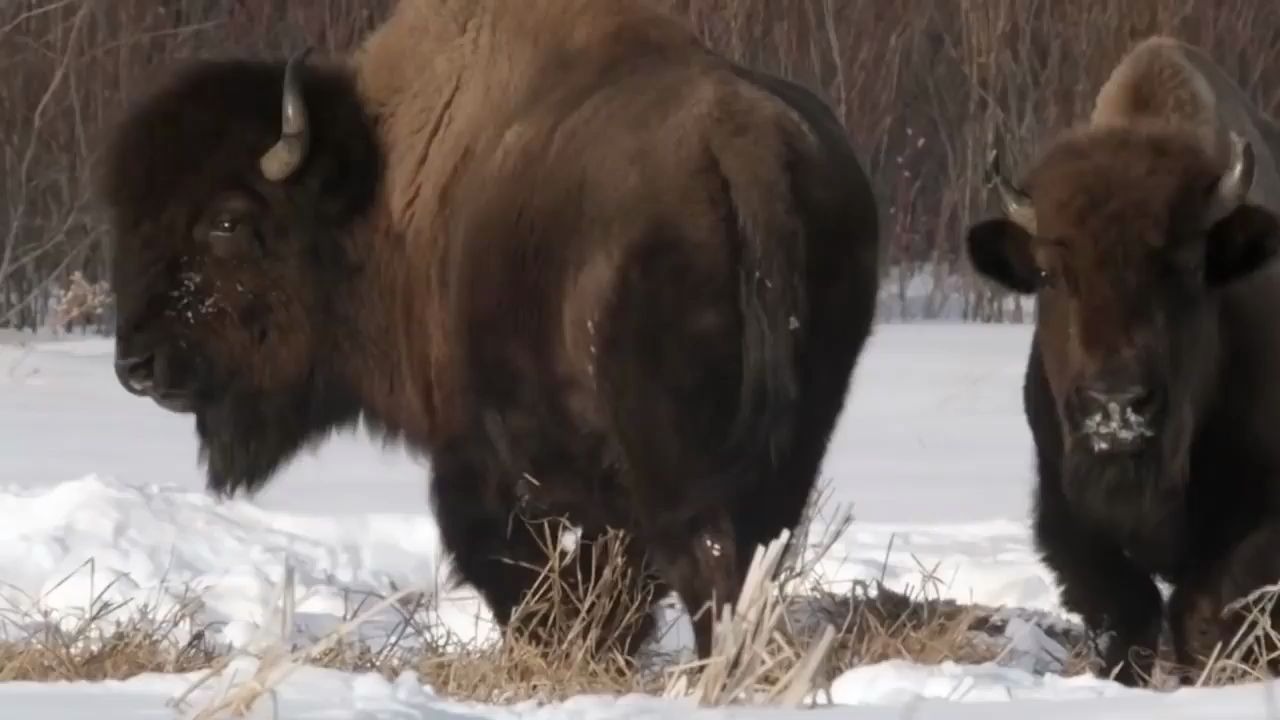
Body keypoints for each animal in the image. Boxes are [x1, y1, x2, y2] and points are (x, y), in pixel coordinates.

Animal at [97, 0, 880, 661]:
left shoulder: (486, 457)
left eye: (228, 221)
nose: (136, 363)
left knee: (706, 557)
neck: (379, 192)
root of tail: (745, 146)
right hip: (795, 433)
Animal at [962, 35, 1280, 681]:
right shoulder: (1070, 519)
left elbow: (1203, 608)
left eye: (1187, 266)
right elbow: (1126, 609)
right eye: (1048, 273)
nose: (1116, 407)